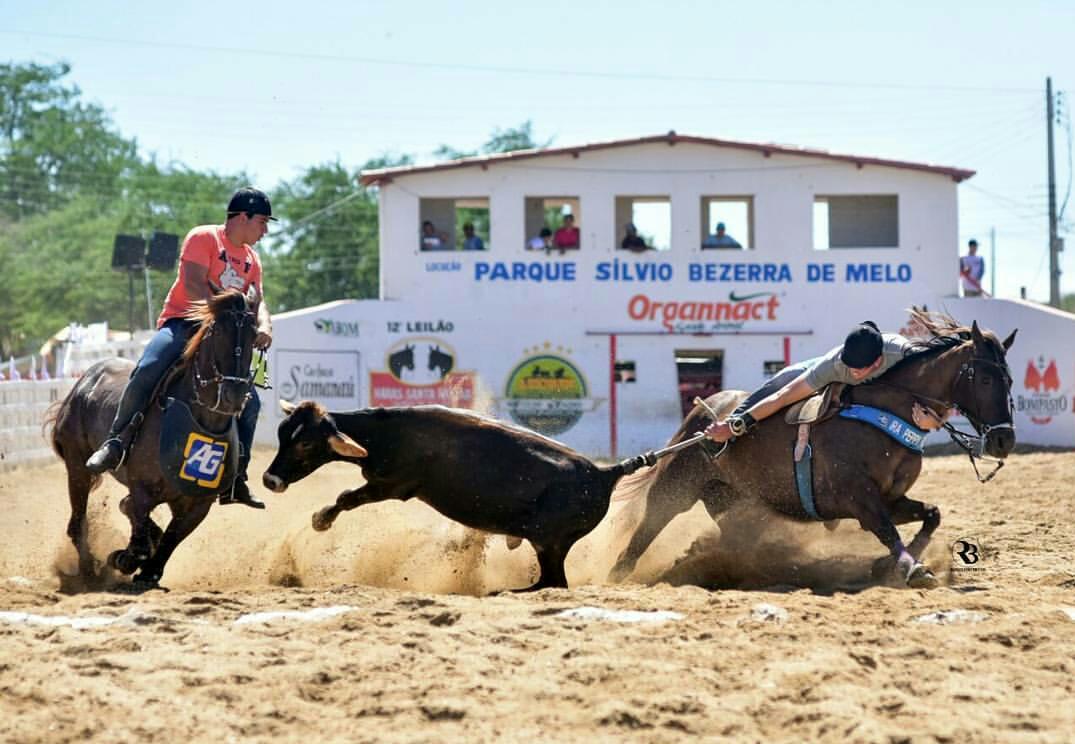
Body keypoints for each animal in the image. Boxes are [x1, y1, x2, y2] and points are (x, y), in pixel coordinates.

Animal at [50, 288, 260, 589]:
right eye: (218, 331)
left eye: (254, 333)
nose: (235, 394)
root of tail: (83, 381)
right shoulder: (142, 486)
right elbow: (139, 533)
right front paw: (124, 558)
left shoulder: (198, 504)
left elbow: (170, 539)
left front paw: (150, 570)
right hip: (77, 466)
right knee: (78, 524)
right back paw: (90, 573)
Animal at [610, 313, 1010, 589]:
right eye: (985, 378)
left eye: (1008, 378)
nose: (1004, 440)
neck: (885, 412)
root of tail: (704, 410)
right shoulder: (859, 497)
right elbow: (885, 530)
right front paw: (912, 568)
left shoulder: (891, 498)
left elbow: (930, 515)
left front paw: (886, 566)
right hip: (675, 487)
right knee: (645, 531)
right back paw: (618, 574)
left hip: (733, 502)